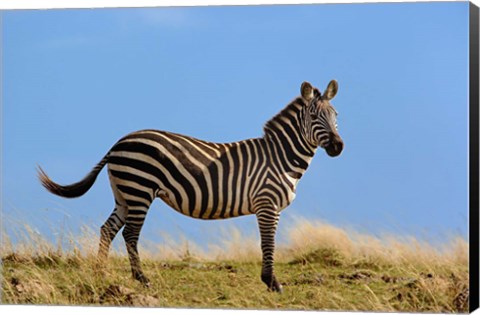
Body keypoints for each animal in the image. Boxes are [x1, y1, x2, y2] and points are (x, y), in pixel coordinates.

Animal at [38, 80, 344, 292]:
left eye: (336, 115)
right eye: (315, 116)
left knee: (107, 230)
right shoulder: (267, 203)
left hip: (124, 194)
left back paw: (100, 273)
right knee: (130, 235)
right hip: (140, 190)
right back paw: (142, 278)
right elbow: (268, 243)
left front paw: (270, 281)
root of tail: (117, 143)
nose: (338, 147)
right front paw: (272, 283)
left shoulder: (269, 207)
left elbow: (268, 243)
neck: (280, 158)